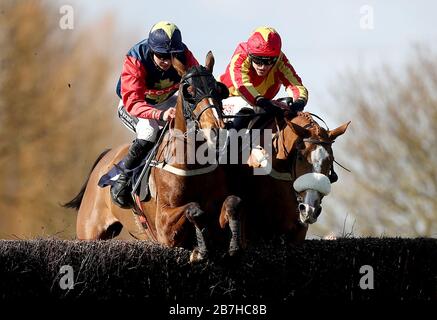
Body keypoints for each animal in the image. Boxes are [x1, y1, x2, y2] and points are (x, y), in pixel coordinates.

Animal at [63, 52, 238, 262]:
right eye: (189, 91)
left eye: (218, 90)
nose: (217, 130)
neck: (193, 163)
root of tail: (104, 158)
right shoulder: (164, 228)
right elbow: (194, 209)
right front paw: (200, 249)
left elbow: (231, 203)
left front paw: (232, 244)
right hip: (90, 231)